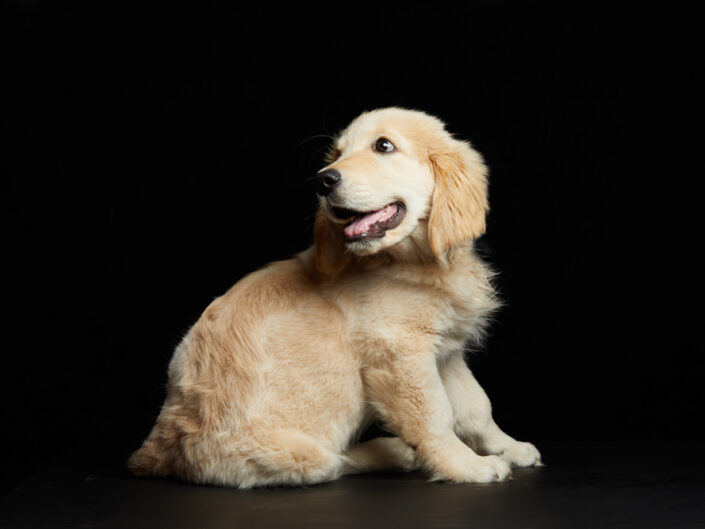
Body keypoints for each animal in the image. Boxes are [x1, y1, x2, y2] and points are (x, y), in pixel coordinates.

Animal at [129, 106, 540, 486]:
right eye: (338, 153)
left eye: (383, 146)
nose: (323, 181)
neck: (411, 262)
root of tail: (159, 452)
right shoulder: (400, 355)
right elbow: (435, 416)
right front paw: (468, 466)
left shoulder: (446, 352)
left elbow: (476, 406)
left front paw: (510, 447)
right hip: (293, 453)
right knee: (334, 461)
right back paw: (391, 452)